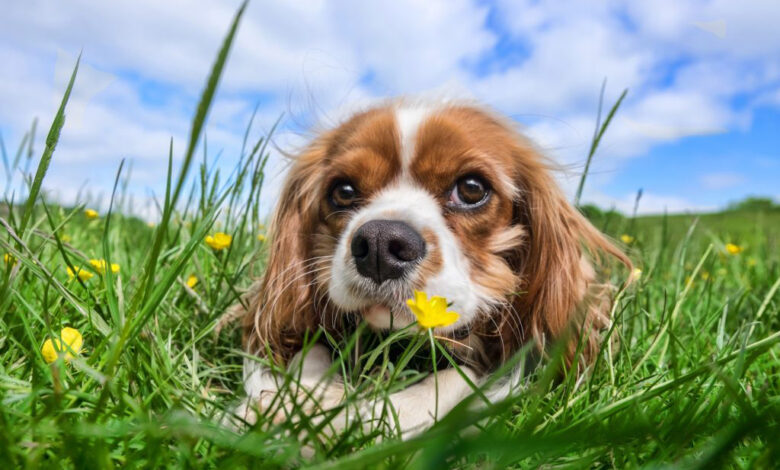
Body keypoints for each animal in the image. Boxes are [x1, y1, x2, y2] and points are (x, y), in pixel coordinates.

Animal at [229, 100, 632, 440]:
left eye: (472, 188)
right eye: (342, 191)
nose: (379, 244)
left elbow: (456, 380)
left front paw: (343, 420)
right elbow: (306, 352)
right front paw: (289, 403)